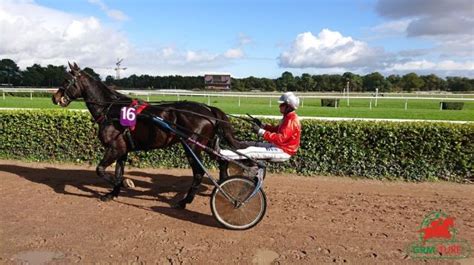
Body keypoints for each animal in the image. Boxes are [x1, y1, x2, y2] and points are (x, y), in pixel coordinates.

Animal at [52, 62, 246, 208]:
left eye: (66, 79)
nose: (55, 98)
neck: (111, 109)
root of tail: (208, 109)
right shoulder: (122, 149)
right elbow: (118, 172)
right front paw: (112, 193)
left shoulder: (115, 148)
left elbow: (101, 170)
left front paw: (126, 184)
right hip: (208, 144)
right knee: (222, 162)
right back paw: (224, 189)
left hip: (192, 145)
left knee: (199, 173)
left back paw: (185, 201)